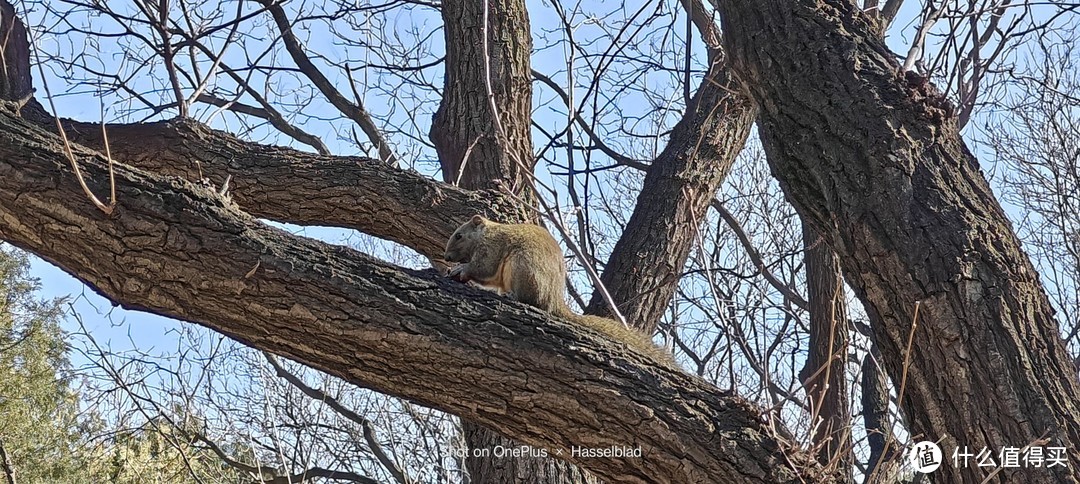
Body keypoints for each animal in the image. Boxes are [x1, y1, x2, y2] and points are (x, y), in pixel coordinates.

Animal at [442, 213, 669, 365]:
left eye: (459, 236)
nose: (447, 257)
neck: (486, 234)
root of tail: (554, 300)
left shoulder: (491, 248)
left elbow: (483, 268)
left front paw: (462, 269)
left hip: (523, 266)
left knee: (531, 299)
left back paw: (511, 295)